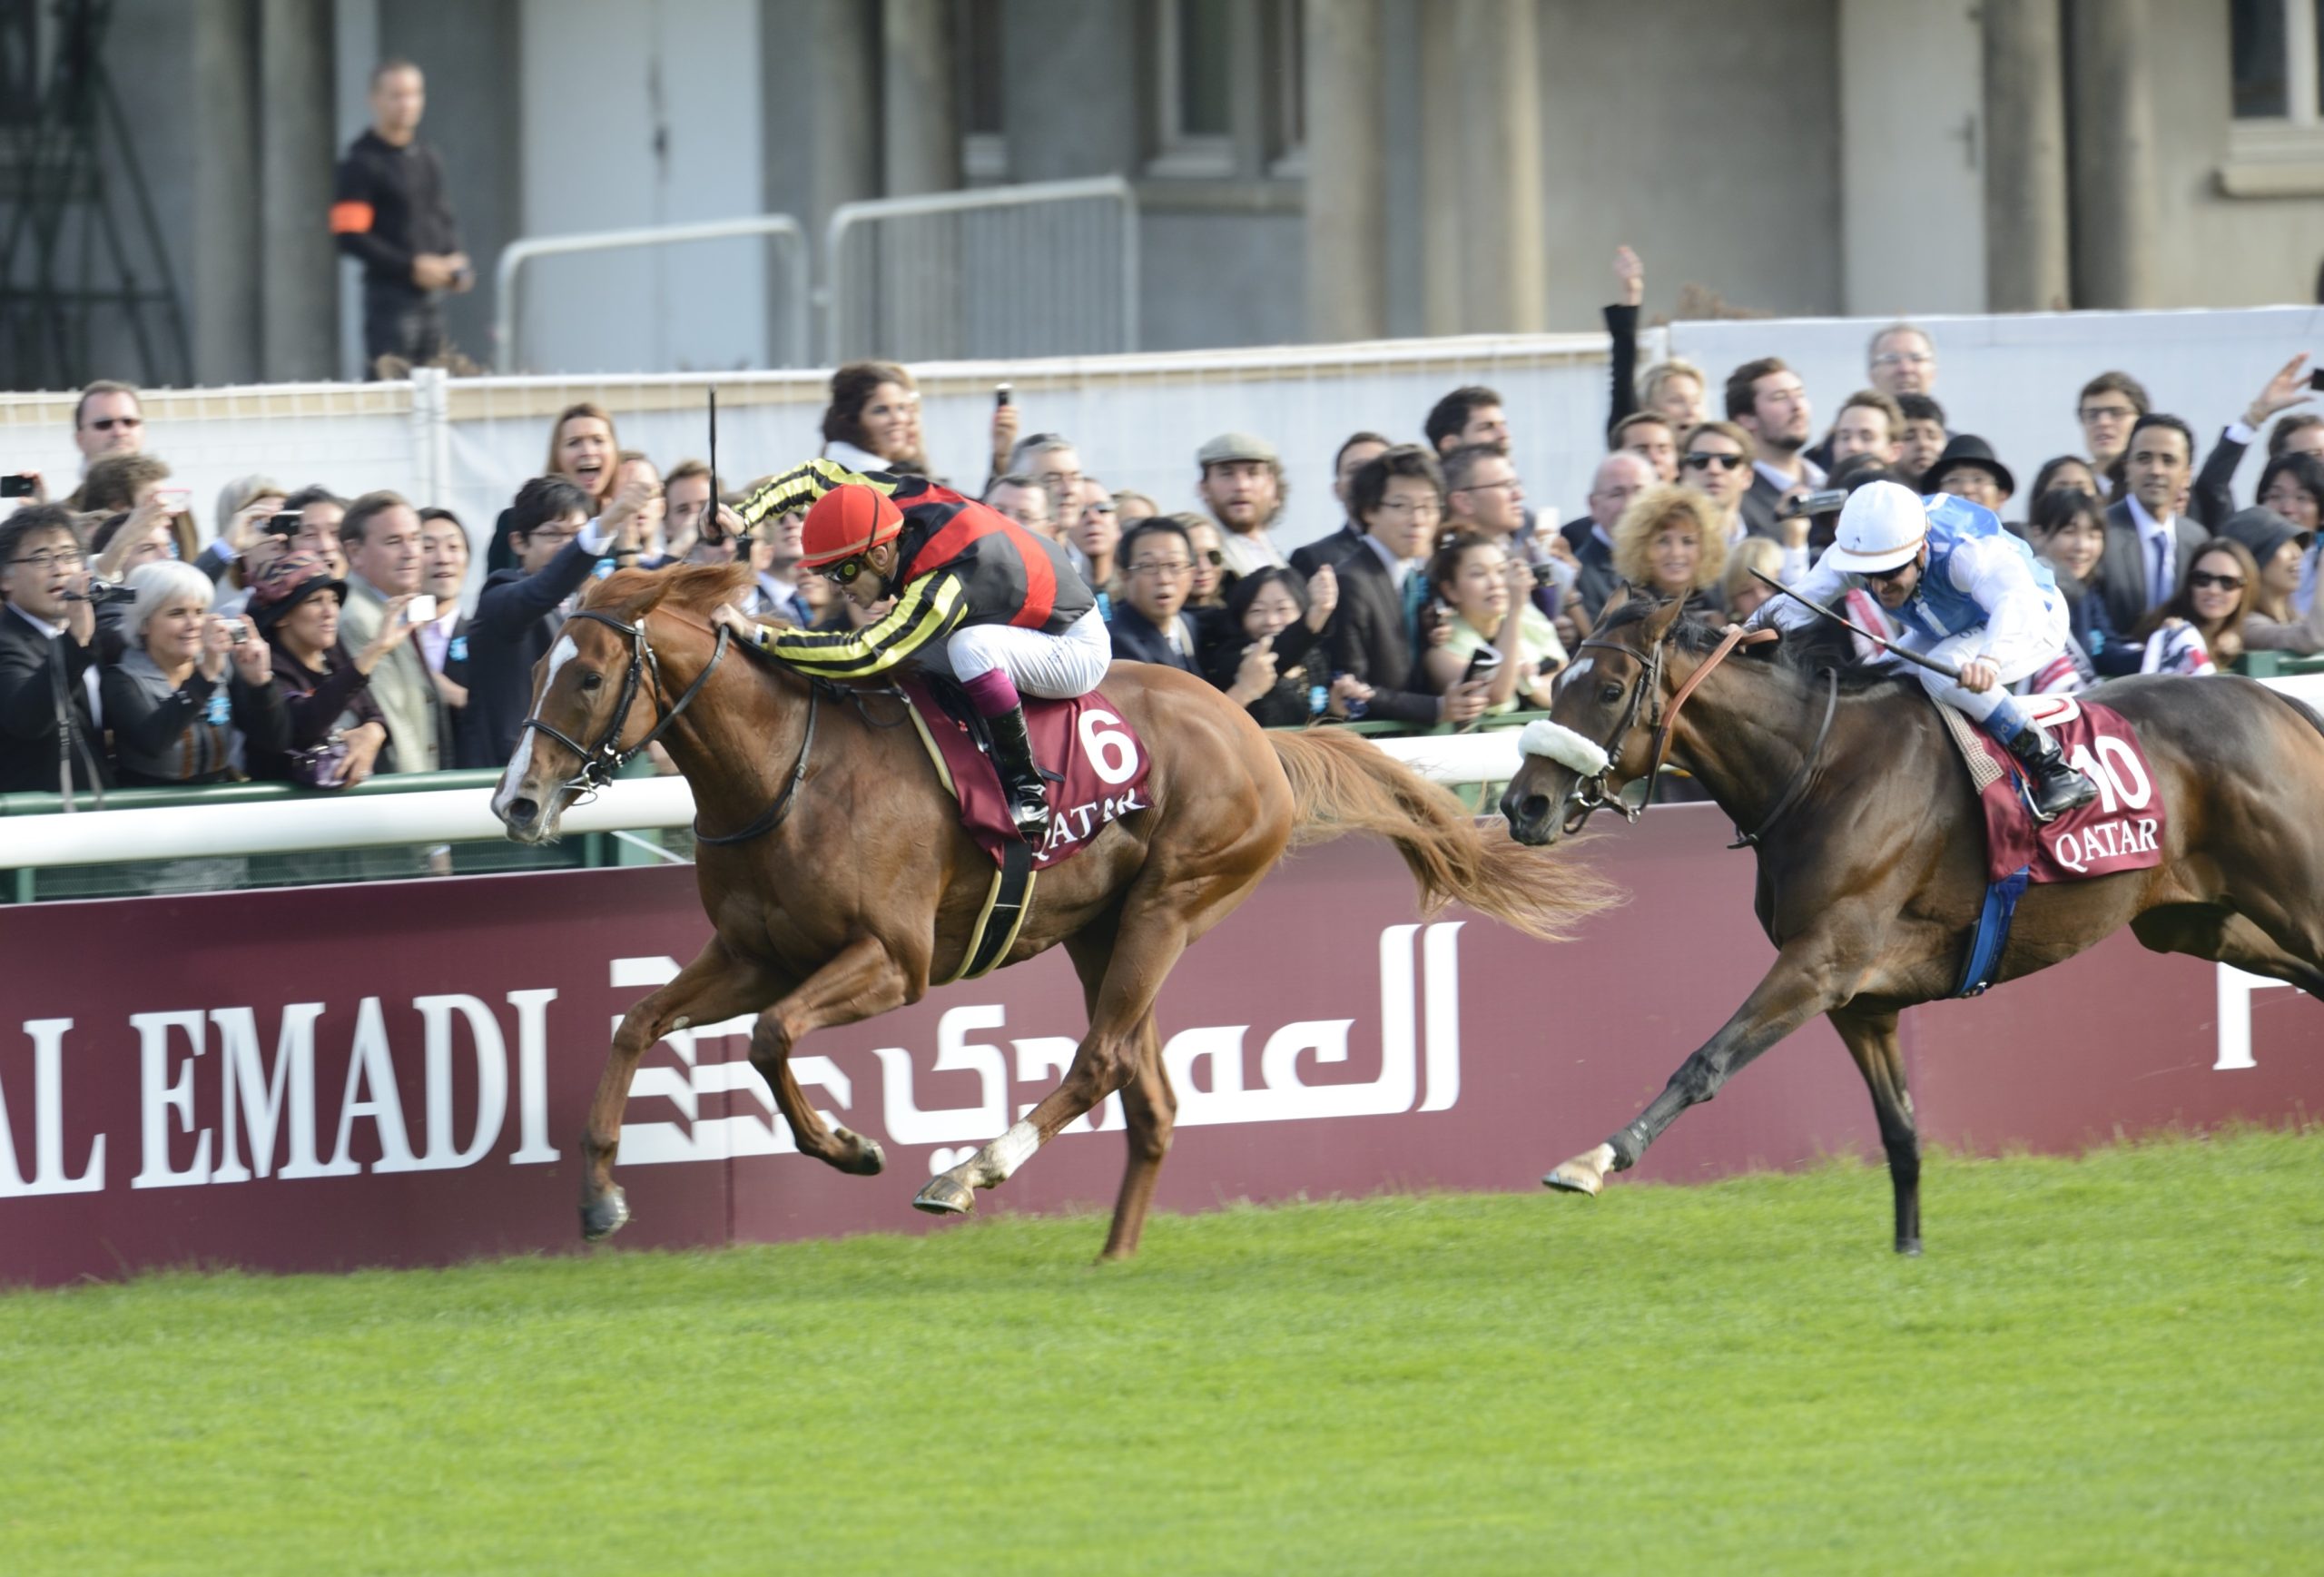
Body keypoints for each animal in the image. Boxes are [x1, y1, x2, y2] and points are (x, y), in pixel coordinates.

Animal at [490, 564, 1617, 1254]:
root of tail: (1253, 729)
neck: (785, 773)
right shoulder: (752, 951)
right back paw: (1110, 1258)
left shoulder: (891, 960)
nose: (515, 802)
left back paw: (968, 1172)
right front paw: (599, 1193)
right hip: (1100, 929)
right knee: (1150, 1100)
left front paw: (853, 1147)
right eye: (538, 664)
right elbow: (636, 1022)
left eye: (588, 676)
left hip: (1170, 901)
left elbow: (769, 1041)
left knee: (1102, 1062)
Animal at [1487, 594, 2324, 1254]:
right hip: (2197, 922)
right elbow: (1898, 1129)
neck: (1820, 771)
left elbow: (1705, 1061)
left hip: (2291, 895)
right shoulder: (1859, 998)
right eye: (1554, 682)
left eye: (1610, 688)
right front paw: (1909, 1246)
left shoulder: (1820, 963)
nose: (1523, 804)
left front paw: (1595, 1158)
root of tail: (2279, 702)